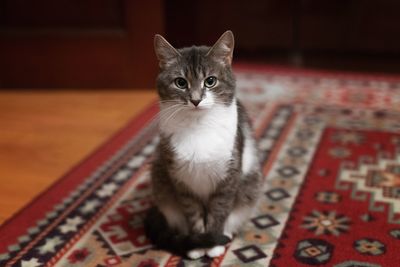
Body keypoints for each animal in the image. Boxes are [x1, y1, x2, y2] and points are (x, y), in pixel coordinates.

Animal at [145, 30, 262, 260]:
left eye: (210, 81)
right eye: (180, 82)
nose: (196, 100)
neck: (198, 126)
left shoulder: (229, 175)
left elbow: (219, 210)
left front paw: (214, 243)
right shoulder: (181, 180)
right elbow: (193, 214)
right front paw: (198, 244)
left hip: (250, 185)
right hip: (161, 179)